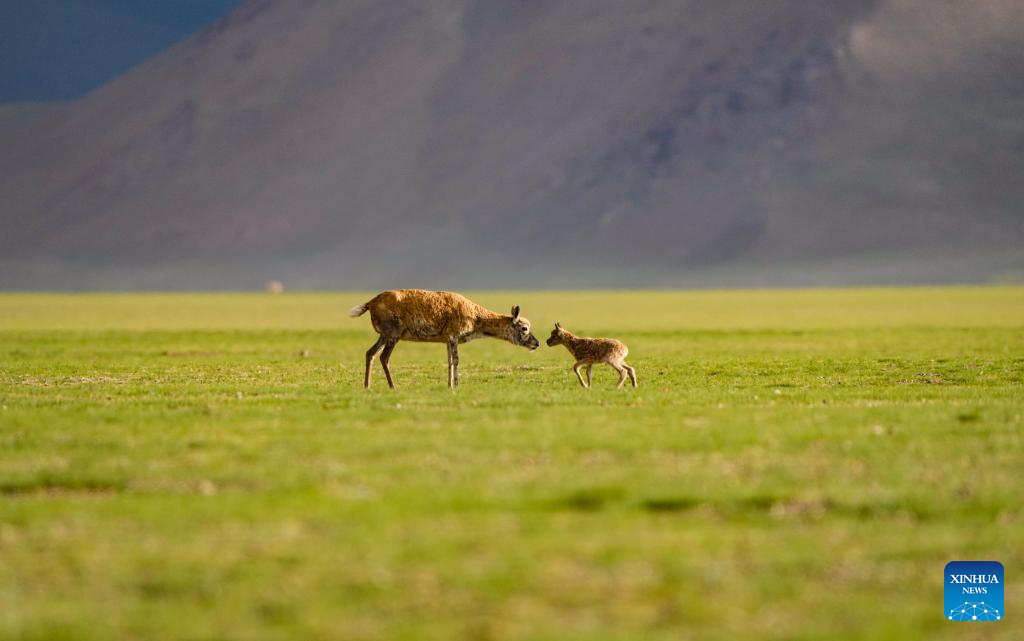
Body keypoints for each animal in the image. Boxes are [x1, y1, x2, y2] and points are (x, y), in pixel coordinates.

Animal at [350, 288, 540, 387]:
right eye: (524, 328)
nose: (536, 343)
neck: (476, 316)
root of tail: (371, 302)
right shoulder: (454, 337)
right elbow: (456, 361)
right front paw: (456, 385)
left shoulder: (447, 341)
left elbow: (448, 362)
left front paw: (449, 385)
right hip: (392, 336)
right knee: (383, 357)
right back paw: (392, 386)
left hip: (383, 336)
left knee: (370, 353)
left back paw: (367, 386)